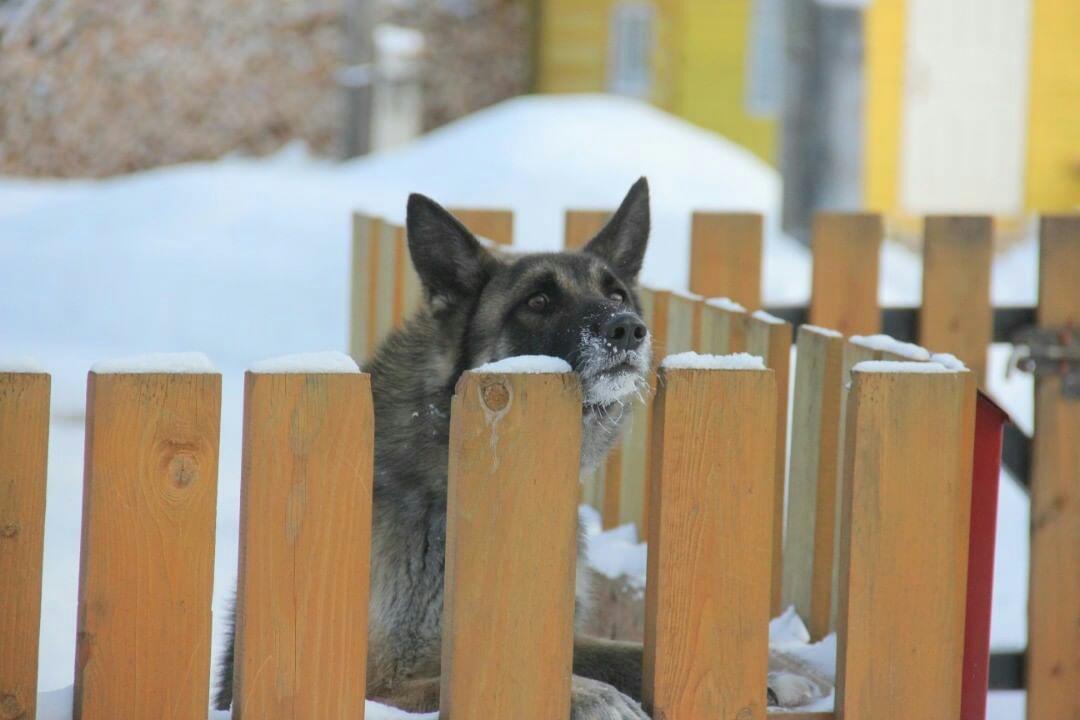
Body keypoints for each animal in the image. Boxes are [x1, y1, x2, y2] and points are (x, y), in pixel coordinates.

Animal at [214, 179, 829, 716]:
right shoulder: (378, 679)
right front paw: (593, 697)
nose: (628, 329)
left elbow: (626, 653)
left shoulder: (559, 635)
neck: (447, 478)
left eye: (617, 293)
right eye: (537, 300)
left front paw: (775, 674)